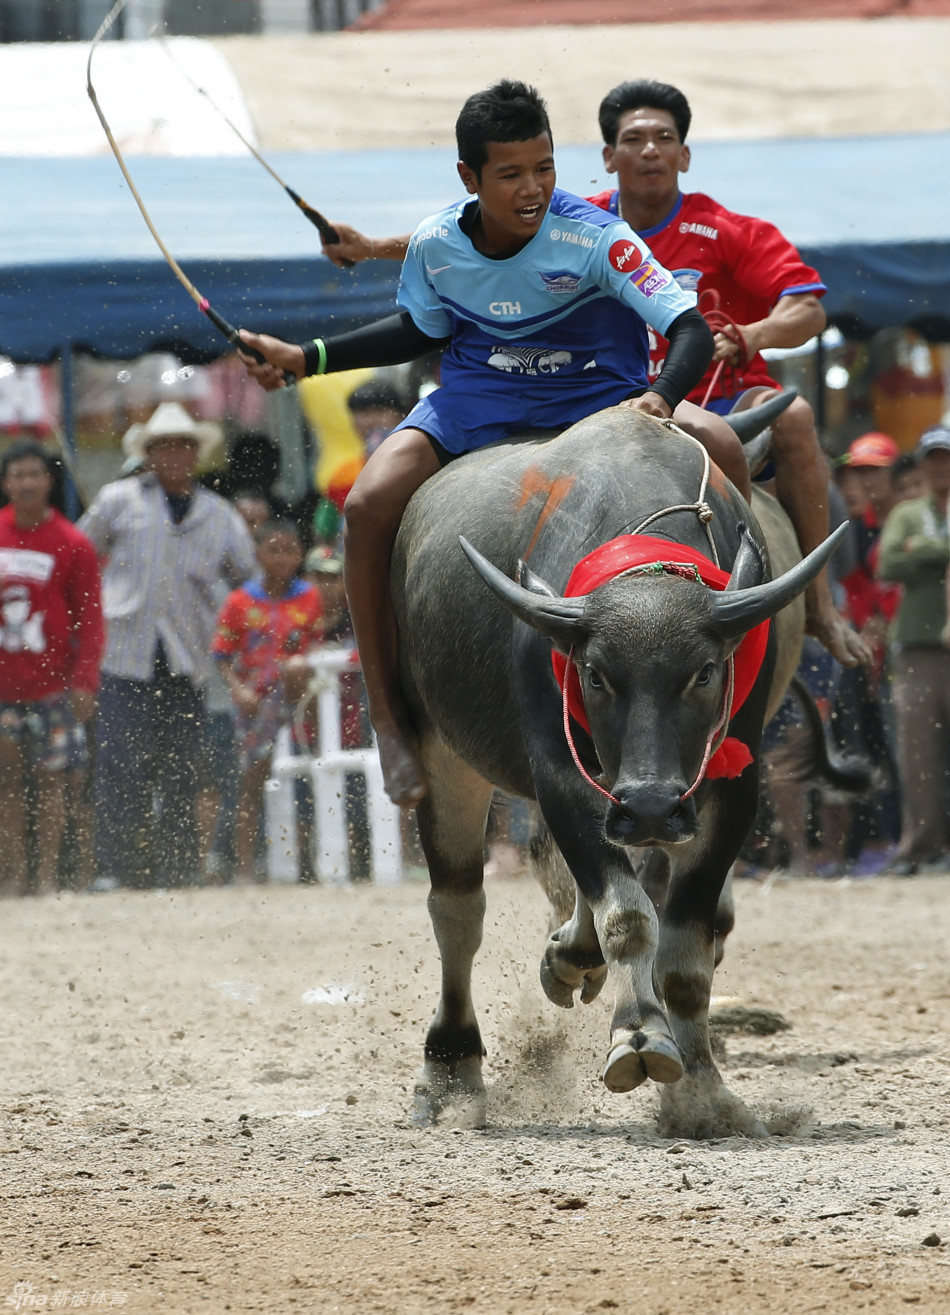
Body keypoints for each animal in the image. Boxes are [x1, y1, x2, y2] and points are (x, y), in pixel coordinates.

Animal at [389, 402, 842, 1141]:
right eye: (595, 673)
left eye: (705, 671)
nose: (652, 805)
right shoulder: (561, 774)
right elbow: (628, 915)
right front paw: (638, 1035)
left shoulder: (728, 787)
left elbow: (686, 950)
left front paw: (701, 1093)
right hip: (440, 751)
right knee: (458, 908)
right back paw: (451, 1071)